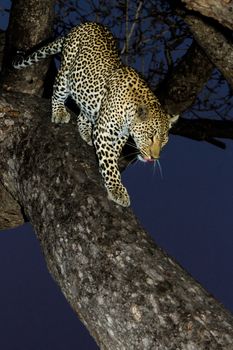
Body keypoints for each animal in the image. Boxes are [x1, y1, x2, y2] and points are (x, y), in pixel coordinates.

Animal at [13, 21, 178, 206]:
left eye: (164, 142)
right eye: (150, 137)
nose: (154, 158)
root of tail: (87, 23)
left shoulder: (120, 136)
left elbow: (113, 155)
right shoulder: (104, 131)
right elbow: (110, 162)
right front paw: (117, 190)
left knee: (84, 113)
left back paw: (85, 131)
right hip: (66, 71)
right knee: (58, 92)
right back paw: (59, 112)